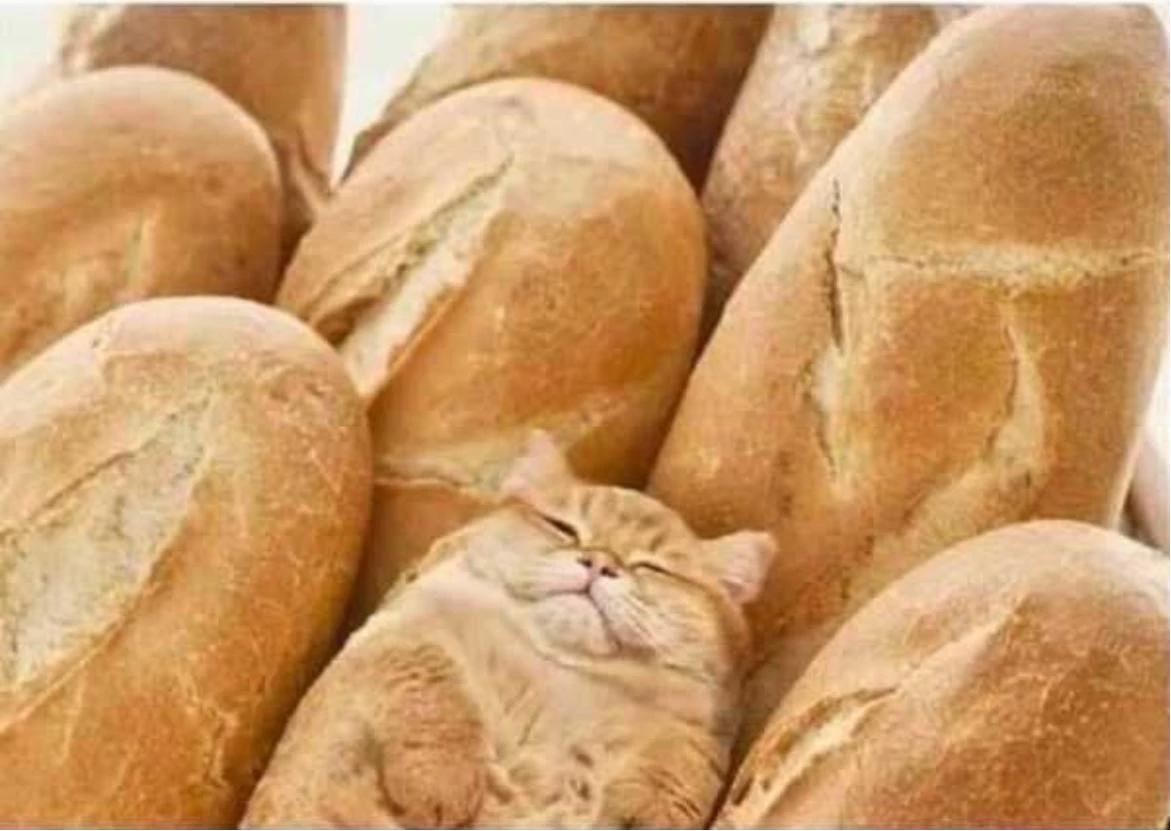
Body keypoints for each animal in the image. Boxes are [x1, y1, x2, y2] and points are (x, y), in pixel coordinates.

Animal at [242, 431, 775, 830]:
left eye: (653, 568)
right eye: (563, 527)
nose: (599, 562)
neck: (554, 669)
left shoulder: (692, 742)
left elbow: (673, 779)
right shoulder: (402, 633)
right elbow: (432, 693)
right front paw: (443, 785)